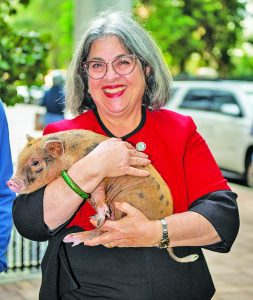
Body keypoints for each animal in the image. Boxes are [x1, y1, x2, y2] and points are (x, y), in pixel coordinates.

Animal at [7, 129, 198, 262]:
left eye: (35, 162)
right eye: (20, 159)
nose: (10, 182)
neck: (71, 155)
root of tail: (161, 217)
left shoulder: (101, 178)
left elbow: (99, 193)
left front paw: (100, 215)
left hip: (125, 201)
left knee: (102, 229)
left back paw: (76, 235)